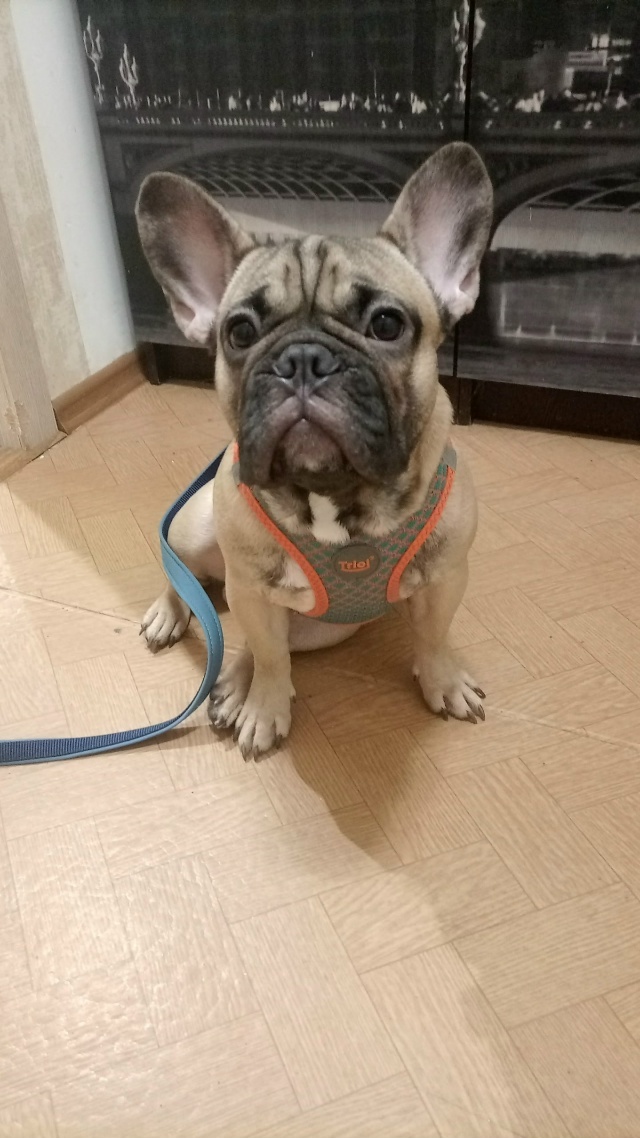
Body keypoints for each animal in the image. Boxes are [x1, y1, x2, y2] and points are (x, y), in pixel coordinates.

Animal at [136, 142, 493, 759]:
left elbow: (433, 635)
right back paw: (176, 620)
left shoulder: (446, 576)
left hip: (318, 627)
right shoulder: (254, 592)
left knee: (252, 640)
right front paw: (265, 709)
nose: (302, 359)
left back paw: (232, 684)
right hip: (199, 529)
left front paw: (443, 680)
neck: (333, 494)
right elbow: (271, 657)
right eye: (240, 333)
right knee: (193, 582)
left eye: (386, 324)